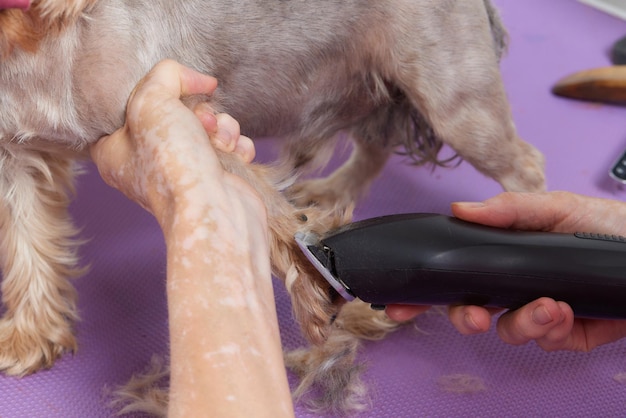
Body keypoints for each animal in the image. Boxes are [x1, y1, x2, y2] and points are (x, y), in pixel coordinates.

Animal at [0, 0, 544, 414]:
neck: (31, 42)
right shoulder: (17, 159)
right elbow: (26, 244)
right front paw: (32, 335)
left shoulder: (182, 106)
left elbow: (272, 211)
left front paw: (318, 293)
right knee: (375, 145)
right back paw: (334, 191)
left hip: (453, 97)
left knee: (524, 164)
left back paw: (532, 228)